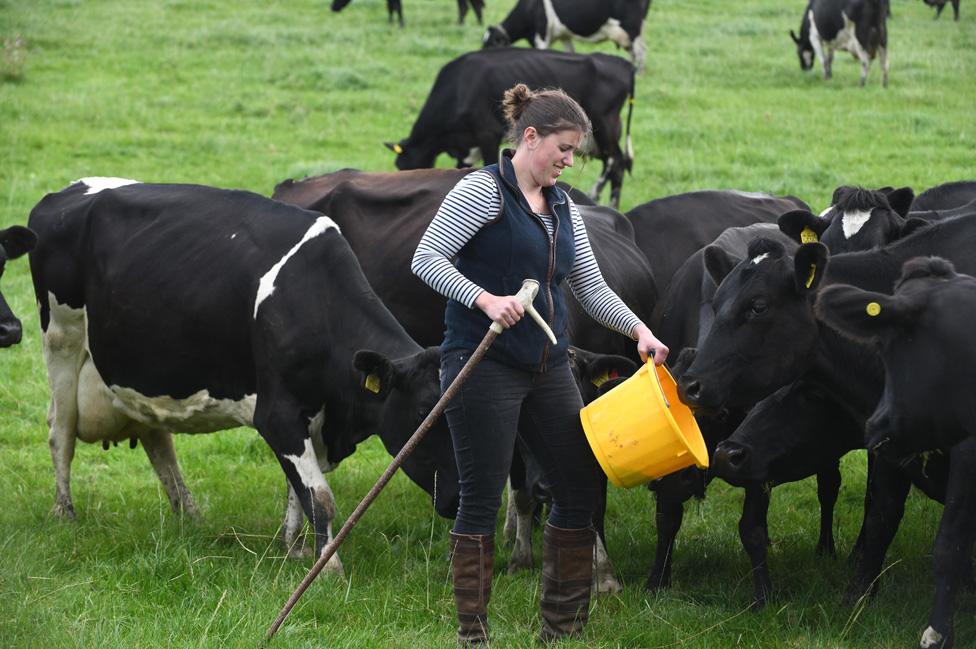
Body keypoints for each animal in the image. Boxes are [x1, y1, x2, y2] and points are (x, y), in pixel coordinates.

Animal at [26, 177, 462, 568]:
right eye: (423, 413)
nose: (458, 498)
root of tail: (61, 194)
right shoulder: (276, 413)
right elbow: (319, 496)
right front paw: (328, 566)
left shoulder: (311, 419)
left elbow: (297, 486)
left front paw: (294, 547)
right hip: (61, 340)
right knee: (60, 431)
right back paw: (65, 512)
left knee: (157, 439)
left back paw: (189, 514)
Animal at [382, 49, 632, 209]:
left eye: (403, 164)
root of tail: (622, 63)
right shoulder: (467, 146)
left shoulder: (487, 134)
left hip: (605, 125)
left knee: (616, 161)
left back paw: (604, 199)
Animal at [484, 0, 652, 73]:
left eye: (491, 44)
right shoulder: (564, 35)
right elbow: (569, 51)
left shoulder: (541, 33)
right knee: (633, 52)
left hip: (632, 27)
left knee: (641, 50)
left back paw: (640, 73)